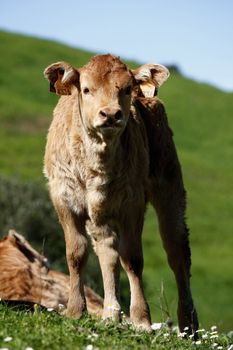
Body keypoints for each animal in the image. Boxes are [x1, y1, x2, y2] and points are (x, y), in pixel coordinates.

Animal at [43, 54, 198, 334]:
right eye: (86, 89)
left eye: (126, 89)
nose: (111, 114)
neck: (97, 165)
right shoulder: (64, 199)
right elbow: (77, 253)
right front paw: (75, 310)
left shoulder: (132, 203)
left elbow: (133, 259)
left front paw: (141, 319)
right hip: (100, 215)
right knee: (108, 253)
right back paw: (110, 313)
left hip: (170, 191)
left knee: (178, 253)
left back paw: (189, 325)